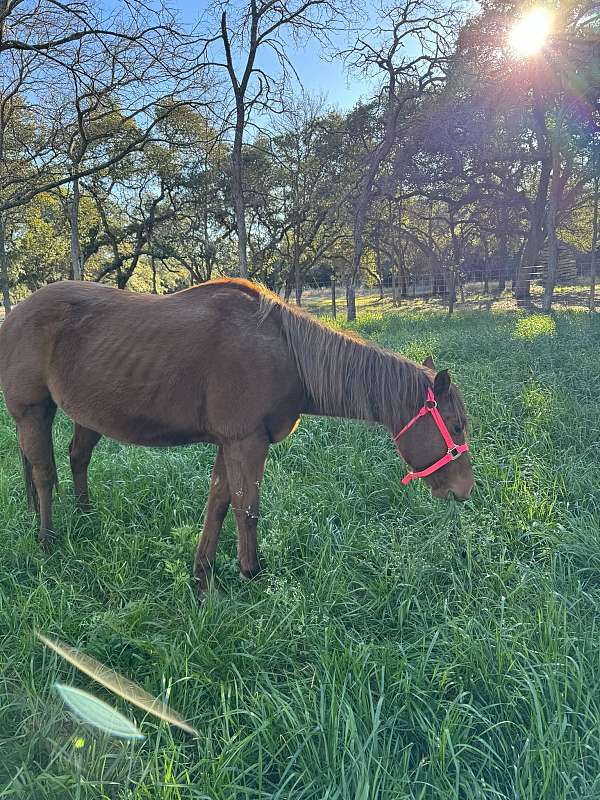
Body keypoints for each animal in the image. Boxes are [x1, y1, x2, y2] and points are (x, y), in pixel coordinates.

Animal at [0, 278, 474, 592]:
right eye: (455, 426)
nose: (464, 490)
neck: (285, 352)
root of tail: (15, 315)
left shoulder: (229, 444)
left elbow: (219, 505)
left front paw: (203, 575)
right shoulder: (247, 442)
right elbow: (247, 510)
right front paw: (252, 573)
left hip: (84, 418)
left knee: (74, 459)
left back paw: (85, 517)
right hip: (32, 413)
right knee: (44, 475)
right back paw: (47, 541)